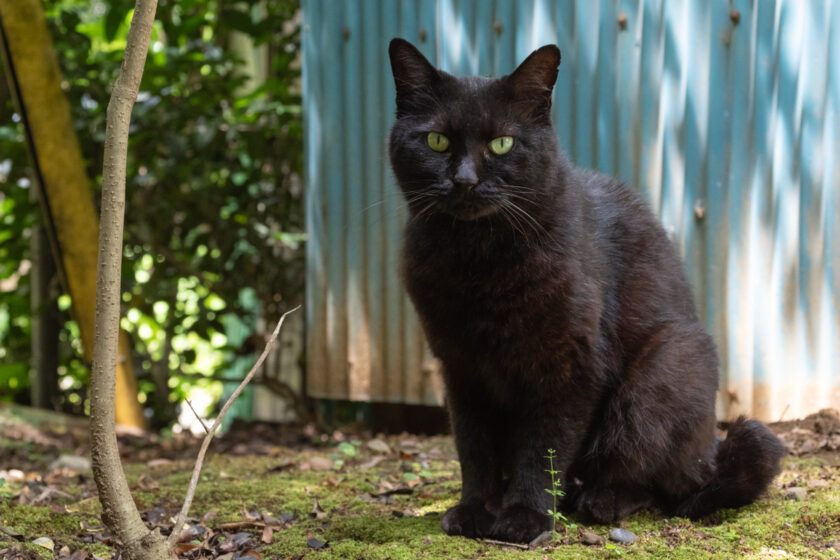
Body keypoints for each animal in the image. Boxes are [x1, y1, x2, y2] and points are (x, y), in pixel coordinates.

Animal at [388, 36, 788, 544]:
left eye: (502, 143)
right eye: (436, 140)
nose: (464, 180)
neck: (477, 260)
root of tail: (710, 454)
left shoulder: (568, 365)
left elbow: (543, 448)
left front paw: (525, 517)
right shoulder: (462, 368)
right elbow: (474, 449)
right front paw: (475, 510)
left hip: (669, 365)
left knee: (657, 480)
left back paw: (598, 500)